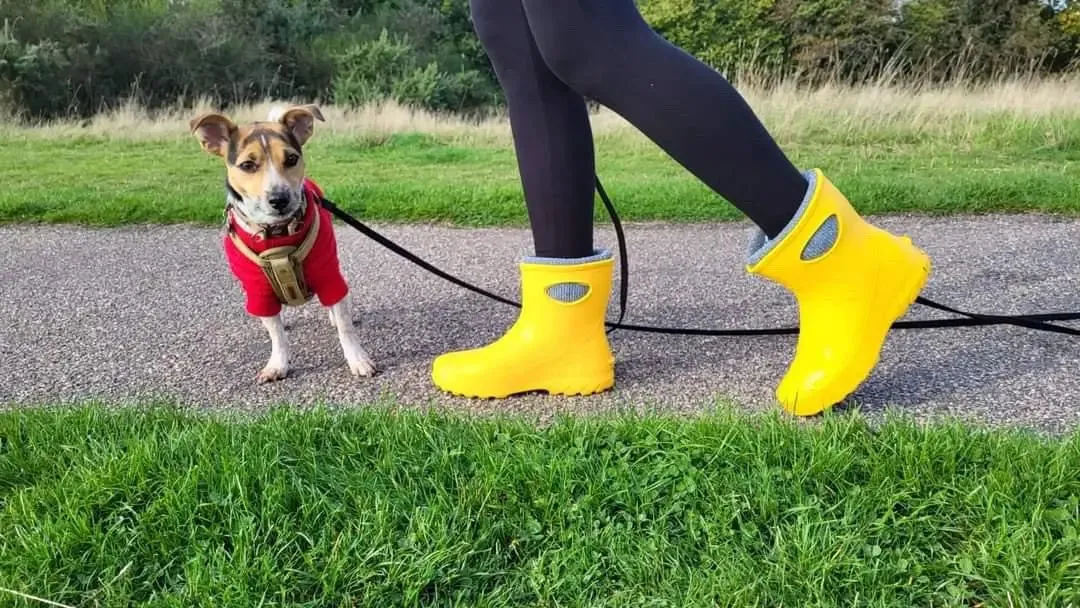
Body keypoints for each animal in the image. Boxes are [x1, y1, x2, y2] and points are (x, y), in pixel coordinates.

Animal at [192, 102, 378, 382]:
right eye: (247, 165)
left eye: (291, 159)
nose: (279, 198)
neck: (278, 233)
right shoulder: (257, 289)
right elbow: (277, 335)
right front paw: (278, 364)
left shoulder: (328, 273)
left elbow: (345, 327)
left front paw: (357, 359)